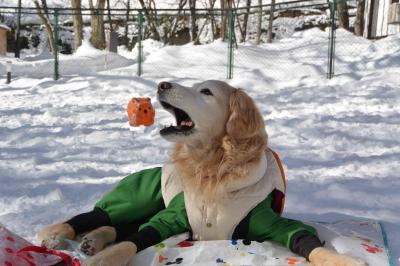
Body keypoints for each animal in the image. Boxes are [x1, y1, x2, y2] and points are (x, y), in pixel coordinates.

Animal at [38, 80, 366, 264]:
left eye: (205, 92)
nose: (161, 84)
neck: (213, 166)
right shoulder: (172, 216)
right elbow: (135, 239)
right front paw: (105, 259)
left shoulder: (272, 223)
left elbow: (306, 240)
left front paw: (341, 261)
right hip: (141, 194)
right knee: (98, 216)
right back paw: (55, 236)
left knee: (118, 226)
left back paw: (93, 240)